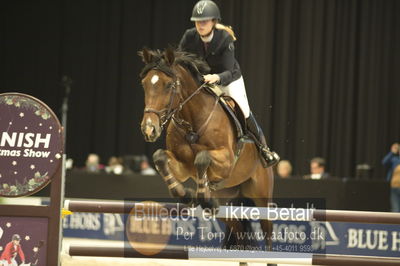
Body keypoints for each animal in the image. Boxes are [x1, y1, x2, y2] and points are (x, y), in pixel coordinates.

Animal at [138, 47, 276, 251]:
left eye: (169, 85)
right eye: (144, 84)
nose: (149, 129)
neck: (192, 125)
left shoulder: (227, 161)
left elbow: (202, 157)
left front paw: (202, 197)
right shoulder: (182, 167)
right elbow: (160, 157)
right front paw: (186, 195)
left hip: (262, 195)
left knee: (267, 230)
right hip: (226, 204)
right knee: (238, 228)